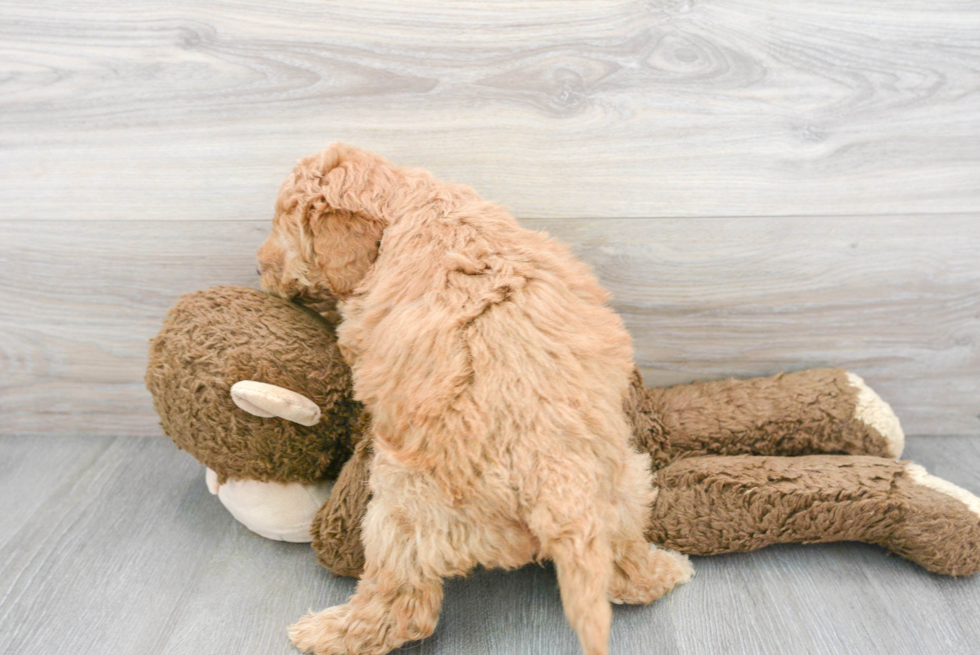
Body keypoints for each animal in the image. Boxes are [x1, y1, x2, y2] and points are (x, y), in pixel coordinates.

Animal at [256, 145, 692, 655]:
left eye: (282, 224)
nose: (258, 267)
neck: (407, 202)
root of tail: (556, 472)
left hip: (401, 508)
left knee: (402, 606)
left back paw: (328, 632)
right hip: (627, 483)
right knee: (622, 563)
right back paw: (666, 571)